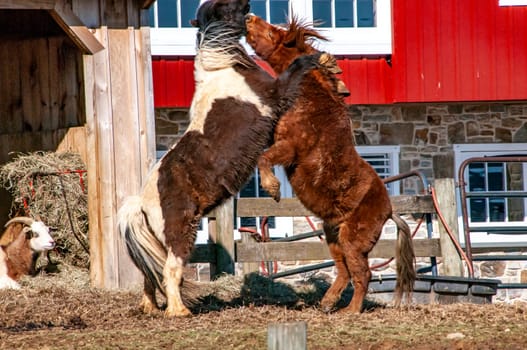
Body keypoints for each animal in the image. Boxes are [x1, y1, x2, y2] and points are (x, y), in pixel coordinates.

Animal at [118, 0, 326, 318]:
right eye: (227, 6)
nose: (248, 5)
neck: (223, 70)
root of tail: (141, 202)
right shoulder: (275, 94)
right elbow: (294, 71)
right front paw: (314, 58)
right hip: (180, 234)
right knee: (169, 271)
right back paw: (179, 311)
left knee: (149, 274)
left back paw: (151, 308)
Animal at [246, 15, 416, 314]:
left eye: (272, 31)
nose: (249, 18)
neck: (311, 100)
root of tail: (389, 211)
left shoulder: (290, 148)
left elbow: (264, 158)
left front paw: (272, 189)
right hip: (332, 236)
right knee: (344, 271)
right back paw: (327, 303)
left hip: (351, 240)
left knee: (362, 273)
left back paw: (351, 310)